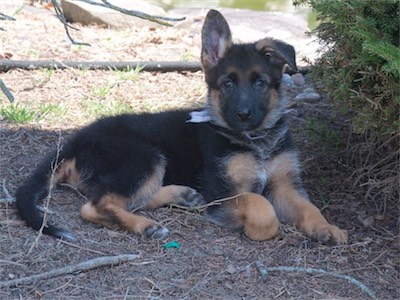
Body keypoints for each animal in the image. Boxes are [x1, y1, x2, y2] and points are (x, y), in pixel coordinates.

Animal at [14, 9, 346, 244]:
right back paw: (146, 226)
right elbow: (262, 208)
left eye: (260, 83)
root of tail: (76, 139)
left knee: (130, 197)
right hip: (143, 155)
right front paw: (253, 227)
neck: (255, 140)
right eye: (227, 84)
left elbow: (309, 207)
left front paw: (327, 227)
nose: (243, 114)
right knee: (95, 205)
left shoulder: (286, 184)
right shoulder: (221, 189)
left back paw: (181, 196)